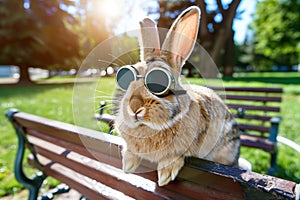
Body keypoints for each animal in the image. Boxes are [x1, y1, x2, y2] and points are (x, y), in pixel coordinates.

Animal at [113, 6, 240, 188]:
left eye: (160, 81)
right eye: (125, 78)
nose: (134, 108)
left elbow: (174, 156)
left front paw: (165, 174)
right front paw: (128, 164)